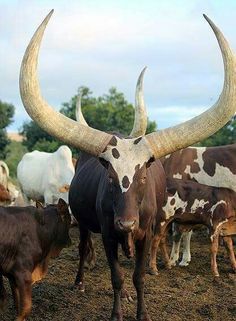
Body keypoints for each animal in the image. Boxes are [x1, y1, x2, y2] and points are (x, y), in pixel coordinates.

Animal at [18, 10, 236, 320]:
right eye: (109, 175)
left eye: (144, 175)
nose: (126, 222)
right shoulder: (109, 235)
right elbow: (117, 276)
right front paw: (116, 313)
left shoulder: (148, 233)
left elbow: (139, 276)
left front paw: (142, 312)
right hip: (82, 221)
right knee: (83, 248)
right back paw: (80, 282)